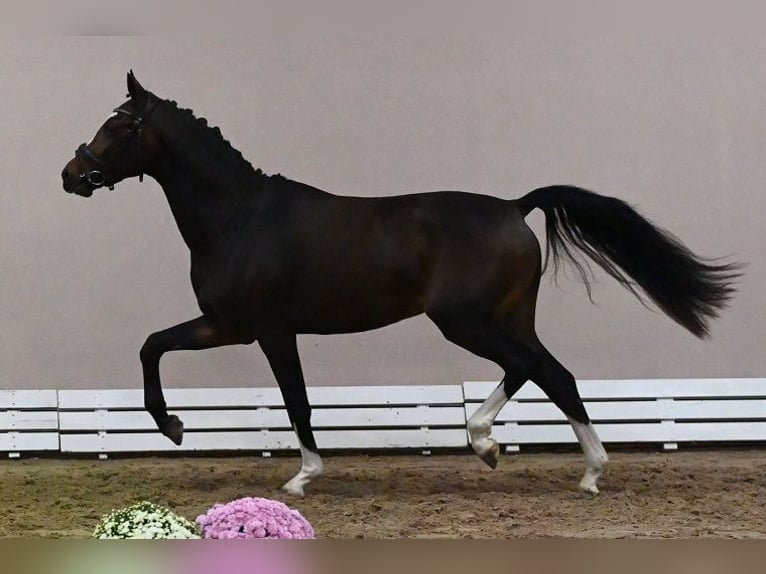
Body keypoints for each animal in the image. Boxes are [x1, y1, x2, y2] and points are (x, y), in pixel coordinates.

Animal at [62, 71, 741, 496]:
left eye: (117, 126)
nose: (71, 174)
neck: (239, 216)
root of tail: (514, 206)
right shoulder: (228, 325)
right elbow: (152, 344)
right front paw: (173, 425)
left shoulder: (270, 331)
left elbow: (296, 400)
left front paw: (302, 477)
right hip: (502, 318)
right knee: (543, 370)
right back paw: (520, 453)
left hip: (465, 320)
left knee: (543, 370)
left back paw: (555, 462)